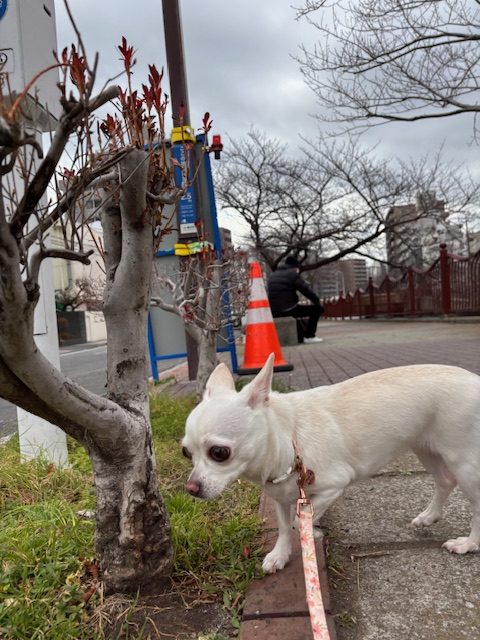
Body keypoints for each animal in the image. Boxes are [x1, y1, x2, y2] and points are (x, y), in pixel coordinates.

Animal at [182, 352, 480, 572]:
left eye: (219, 453)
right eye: (186, 453)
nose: (191, 488)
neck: (288, 439)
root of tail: (475, 379)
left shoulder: (332, 487)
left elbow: (296, 522)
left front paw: (311, 534)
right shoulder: (279, 496)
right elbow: (283, 526)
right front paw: (280, 554)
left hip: (464, 463)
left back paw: (468, 544)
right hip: (426, 448)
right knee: (444, 480)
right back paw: (429, 516)